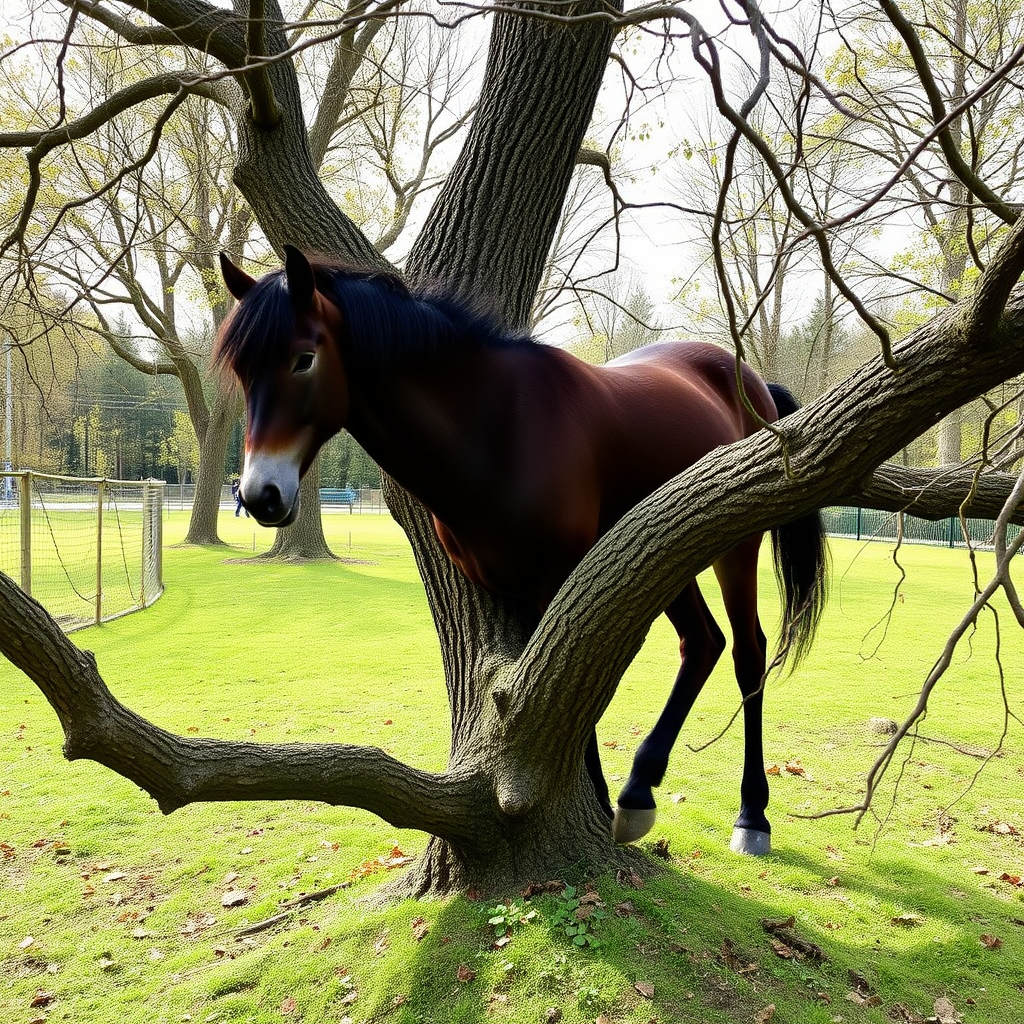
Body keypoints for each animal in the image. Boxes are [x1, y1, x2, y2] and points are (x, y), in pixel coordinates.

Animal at [218, 243, 831, 851]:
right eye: (242, 370)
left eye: (303, 359)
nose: (260, 494)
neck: (497, 429)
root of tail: (751, 382)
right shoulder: (507, 588)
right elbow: (534, 696)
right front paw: (595, 796)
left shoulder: (556, 582)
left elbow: (567, 696)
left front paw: (587, 797)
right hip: (665, 549)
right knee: (702, 642)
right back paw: (639, 791)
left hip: (733, 544)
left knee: (748, 653)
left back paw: (751, 814)